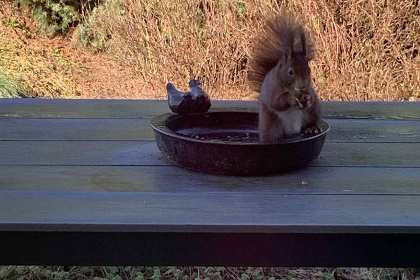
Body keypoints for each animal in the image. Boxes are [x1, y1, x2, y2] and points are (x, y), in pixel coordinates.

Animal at [248, 11, 324, 142]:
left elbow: (311, 96)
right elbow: (277, 102)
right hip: (270, 122)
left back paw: (312, 128)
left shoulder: (310, 91)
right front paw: (291, 99)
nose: (302, 86)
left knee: (312, 119)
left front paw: (307, 97)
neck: (293, 90)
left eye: (309, 70)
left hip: (313, 110)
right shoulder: (273, 89)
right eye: (290, 72)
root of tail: (292, 131)